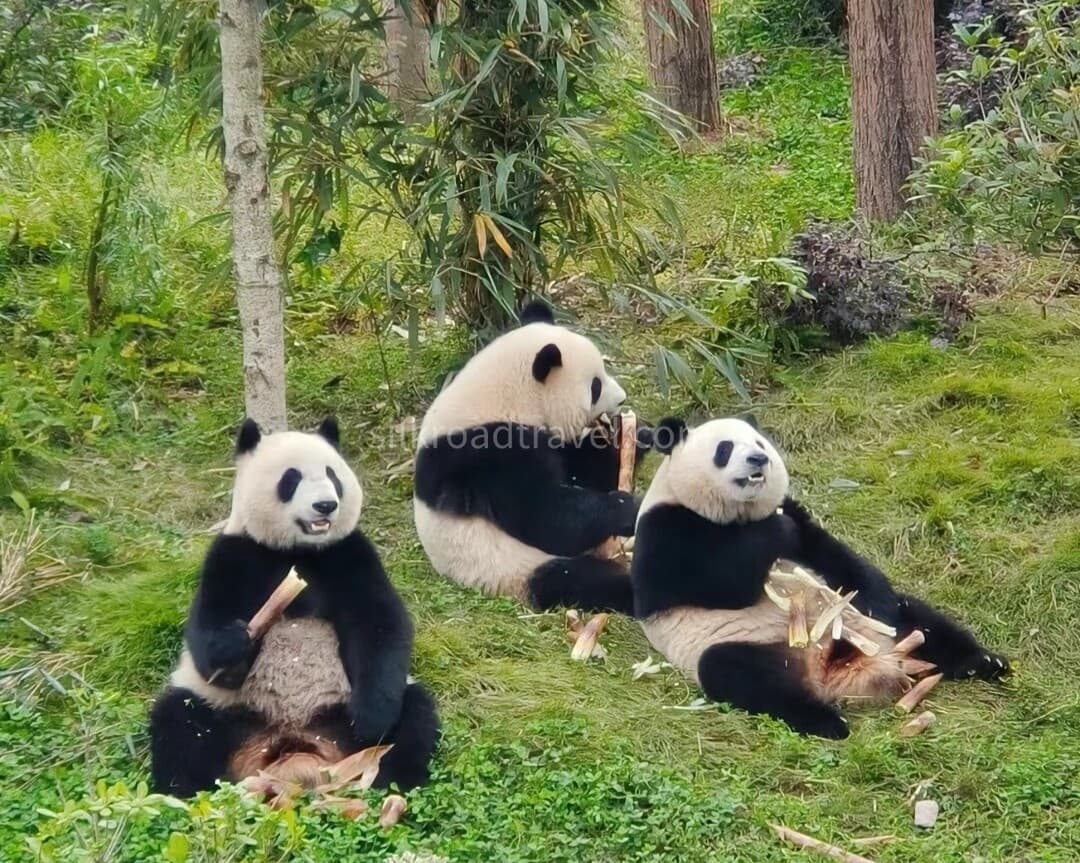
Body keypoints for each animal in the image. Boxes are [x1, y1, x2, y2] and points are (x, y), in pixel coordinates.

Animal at [149, 418, 439, 796]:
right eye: (292, 478)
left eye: (332, 475)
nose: (325, 505)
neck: (297, 550)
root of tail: (295, 747)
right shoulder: (234, 554)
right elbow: (206, 632)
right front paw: (235, 644)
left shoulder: (349, 554)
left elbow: (380, 624)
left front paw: (370, 719)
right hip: (223, 711)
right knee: (180, 725)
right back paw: (186, 793)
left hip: (346, 708)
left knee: (415, 714)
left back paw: (390, 782)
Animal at [413, 301, 651, 615]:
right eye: (595, 386)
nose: (622, 398)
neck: (508, 394)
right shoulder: (491, 451)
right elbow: (545, 515)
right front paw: (627, 507)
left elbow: (585, 470)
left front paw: (642, 436)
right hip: (510, 567)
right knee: (574, 579)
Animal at [631, 415, 1010, 739]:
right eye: (724, 449)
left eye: (759, 443)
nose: (758, 459)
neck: (738, 514)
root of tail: (825, 669)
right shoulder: (664, 529)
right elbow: (716, 584)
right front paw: (774, 531)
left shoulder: (799, 520)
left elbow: (836, 558)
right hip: (741, 645)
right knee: (740, 675)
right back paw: (828, 721)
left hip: (876, 629)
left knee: (919, 619)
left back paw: (985, 662)